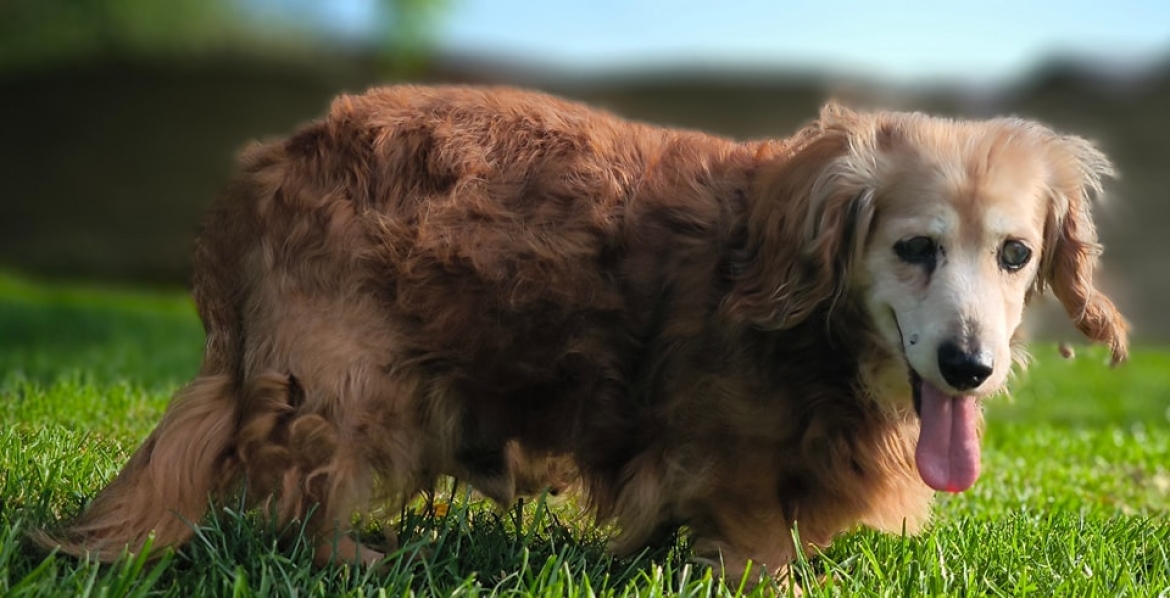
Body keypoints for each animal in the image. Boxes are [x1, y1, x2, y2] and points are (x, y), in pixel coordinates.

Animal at [41, 84, 1127, 580]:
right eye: (913, 248)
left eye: (1016, 254)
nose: (969, 367)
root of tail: (266, 167)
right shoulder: (726, 460)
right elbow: (749, 535)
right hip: (349, 385)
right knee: (304, 494)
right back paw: (358, 557)